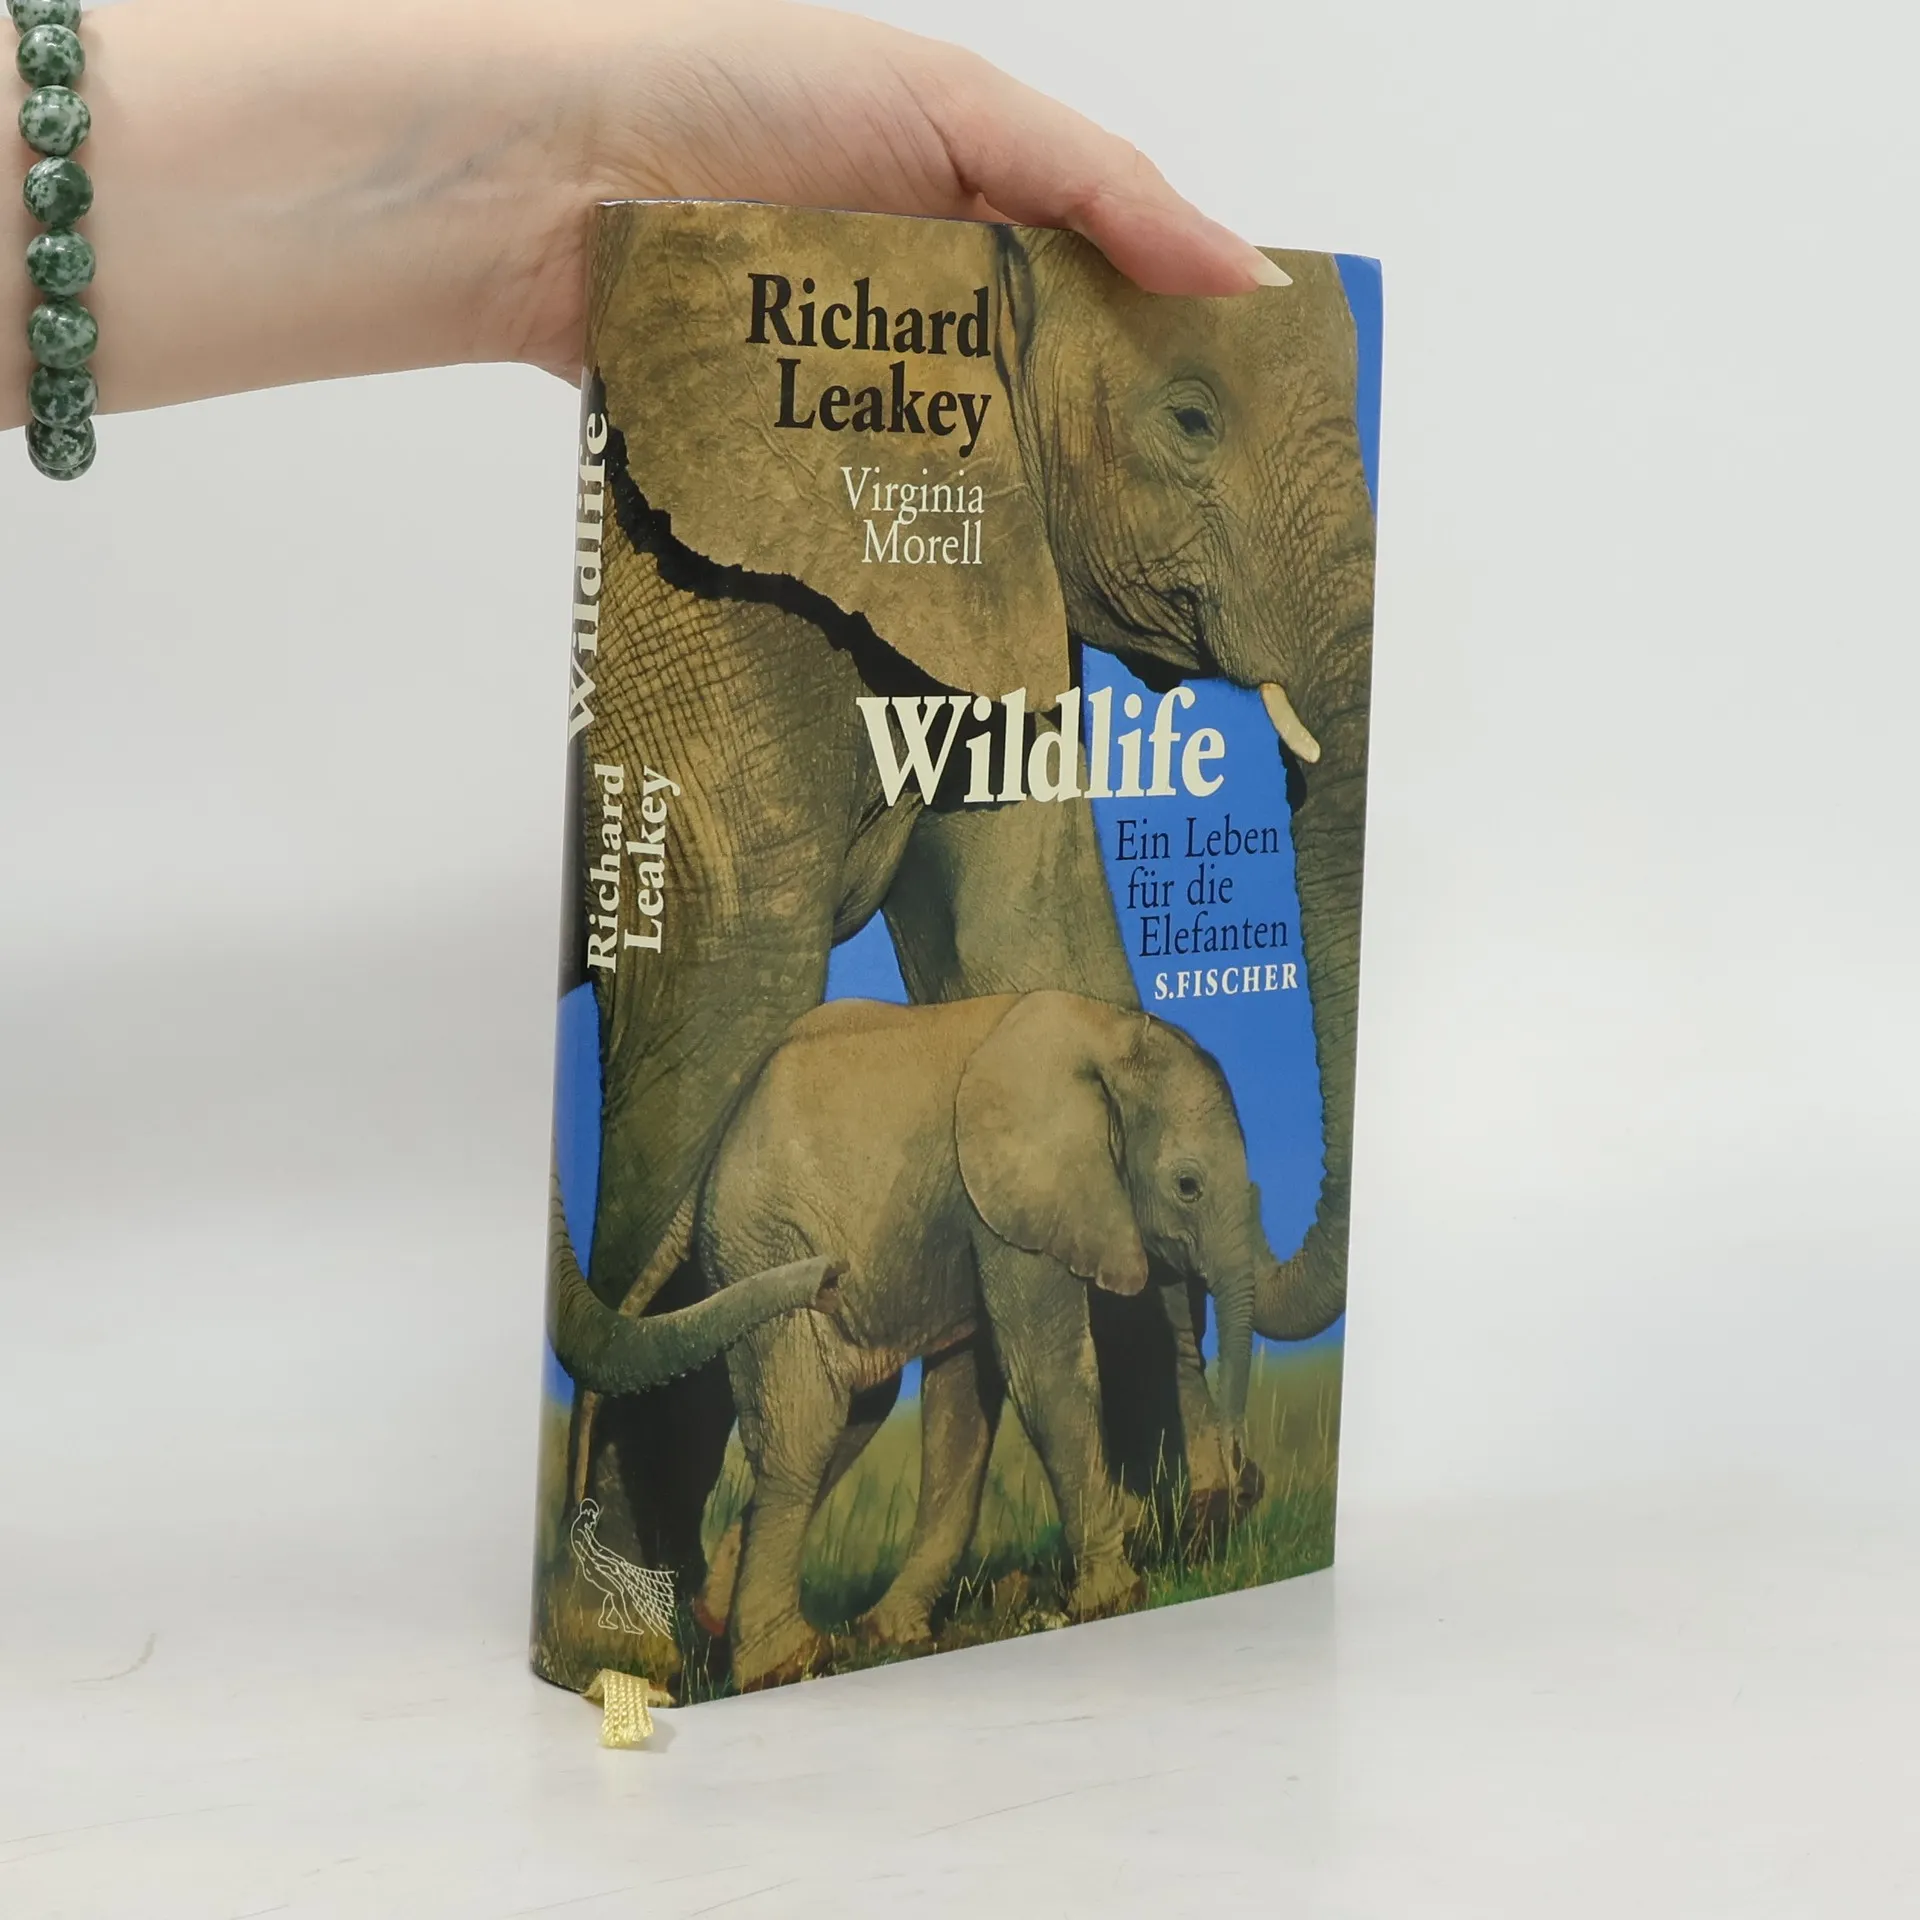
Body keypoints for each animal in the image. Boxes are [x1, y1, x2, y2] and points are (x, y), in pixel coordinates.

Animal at [689, 991, 1278, 1691]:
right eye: (1187, 1185)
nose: (1246, 1485)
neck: (1109, 1036)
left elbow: (976, 1393)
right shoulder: (1018, 1193)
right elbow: (1044, 1370)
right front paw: (1114, 1598)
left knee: (859, 1415)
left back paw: (737, 1619)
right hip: (767, 1248)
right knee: (807, 1425)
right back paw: (786, 1663)